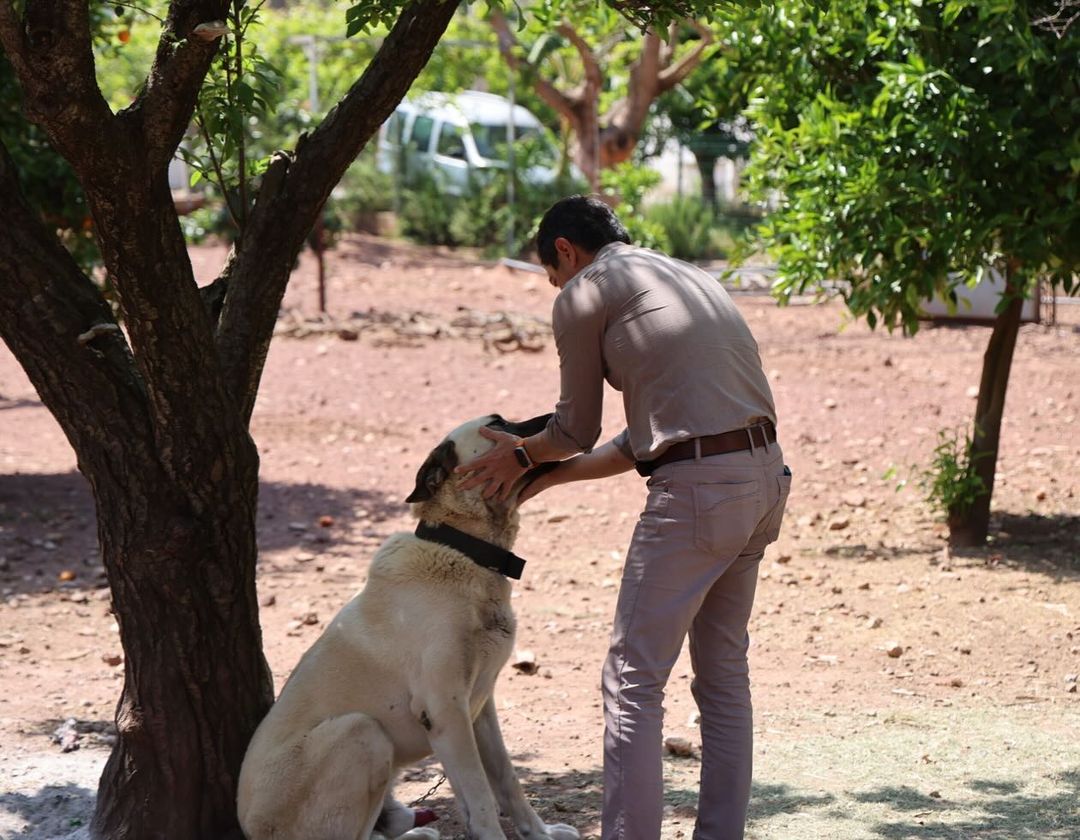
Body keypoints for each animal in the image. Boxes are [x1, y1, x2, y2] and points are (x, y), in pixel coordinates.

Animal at [234, 414, 574, 837]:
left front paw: (541, 833)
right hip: (362, 733)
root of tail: (248, 826)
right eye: (498, 423)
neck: (461, 550)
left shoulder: (479, 709)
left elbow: (506, 780)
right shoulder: (445, 710)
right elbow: (480, 795)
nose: (553, 420)